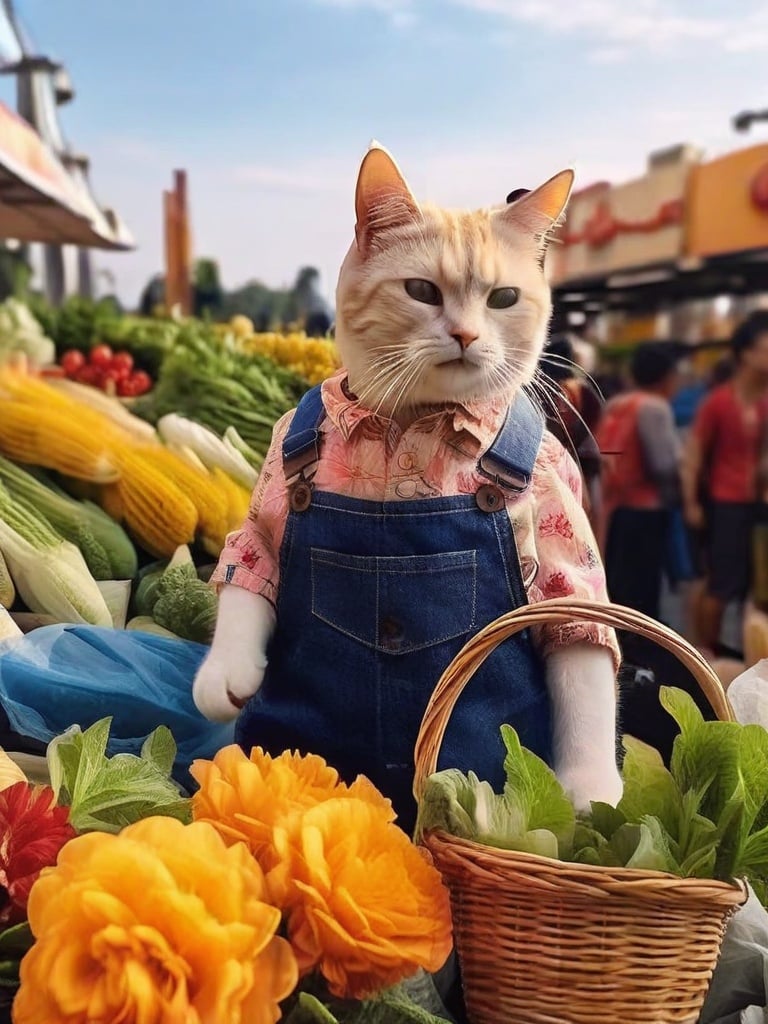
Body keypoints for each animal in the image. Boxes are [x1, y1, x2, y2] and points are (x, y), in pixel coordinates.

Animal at [193, 144, 626, 831]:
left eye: (504, 298)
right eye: (422, 291)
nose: (467, 335)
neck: (408, 420)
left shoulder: (563, 550)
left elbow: (580, 647)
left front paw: (590, 789)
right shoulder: (270, 502)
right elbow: (247, 570)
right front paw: (223, 674)